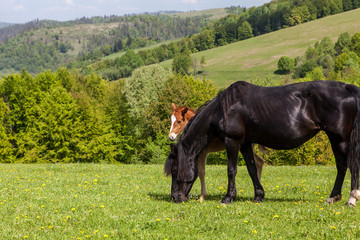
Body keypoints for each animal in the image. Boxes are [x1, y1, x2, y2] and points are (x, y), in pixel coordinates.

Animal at [165, 80, 360, 206]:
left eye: (174, 170)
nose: (175, 198)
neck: (224, 108)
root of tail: (346, 87)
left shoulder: (232, 142)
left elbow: (231, 170)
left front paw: (228, 198)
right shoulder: (245, 144)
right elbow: (252, 169)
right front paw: (258, 195)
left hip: (339, 138)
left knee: (348, 165)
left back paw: (350, 197)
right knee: (342, 165)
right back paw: (335, 197)